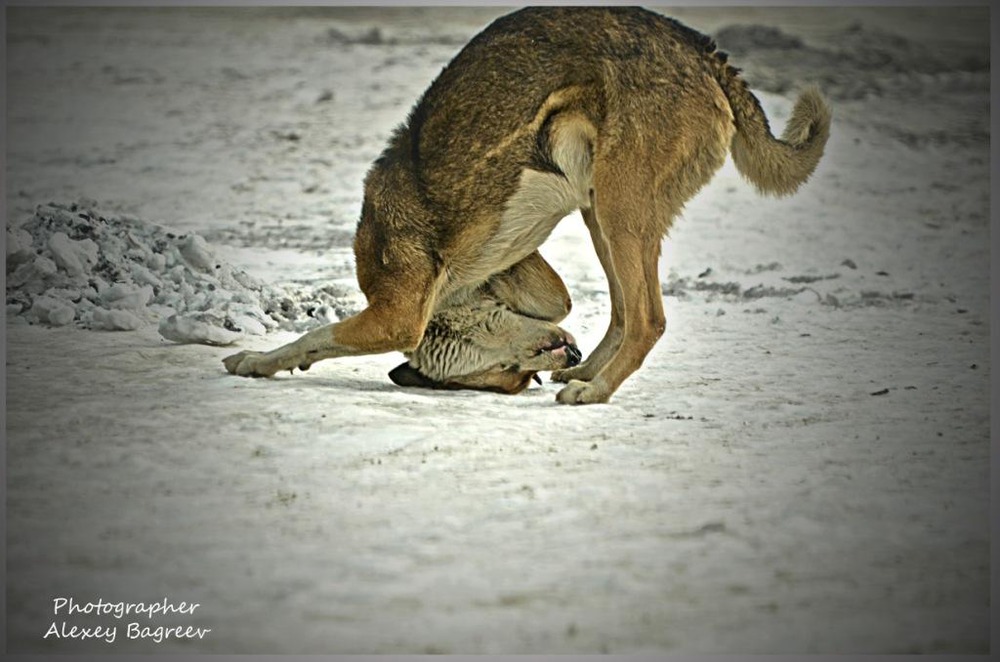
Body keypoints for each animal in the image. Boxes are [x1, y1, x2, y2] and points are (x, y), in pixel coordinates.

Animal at [223, 6, 832, 404]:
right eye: (513, 371)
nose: (558, 357)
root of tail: (701, 48)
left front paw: (254, 361)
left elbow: (311, 338)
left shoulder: (397, 318)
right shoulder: (539, 289)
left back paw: (595, 389)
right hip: (599, 209)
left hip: (619, 209)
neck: (460, 305)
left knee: (648, 320)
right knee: (623, 311)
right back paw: (588, 373)